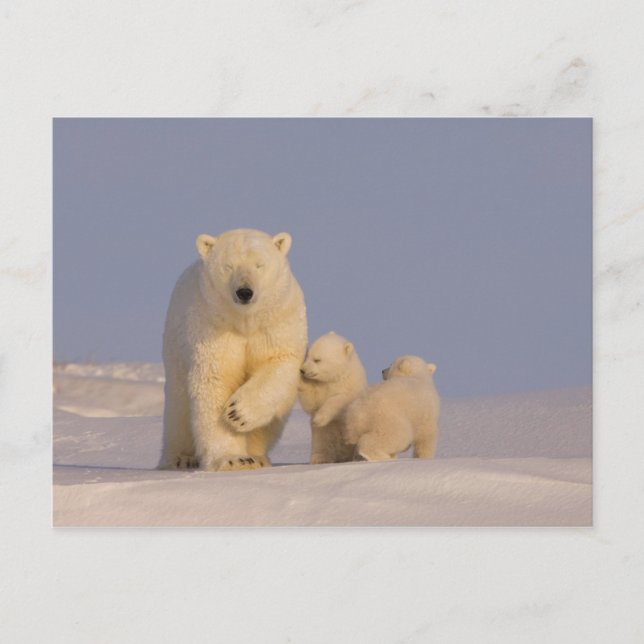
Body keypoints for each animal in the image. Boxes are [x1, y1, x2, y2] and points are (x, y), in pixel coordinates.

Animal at [158, 228, 307, 472]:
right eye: (228, 266)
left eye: (259, 265)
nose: (244, 292)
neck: (244, 322)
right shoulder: (212, 325)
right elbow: (216, 380)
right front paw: (233, 459)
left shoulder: (277, 321)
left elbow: (279, 362)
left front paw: (238, 413)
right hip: (175, 347)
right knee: (178, 408)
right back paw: (179, 458)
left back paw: (258, 457)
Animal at [298, 332, 368, 464]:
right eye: (308, 355)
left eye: (317, 359)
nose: (302, 370)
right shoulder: (319, 386)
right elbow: (311, 401)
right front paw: (300, 381)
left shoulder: (350, 388)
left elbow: (339, 401)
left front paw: (319, 418)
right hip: (322, 437)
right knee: (323, 446)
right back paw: (319, 459)